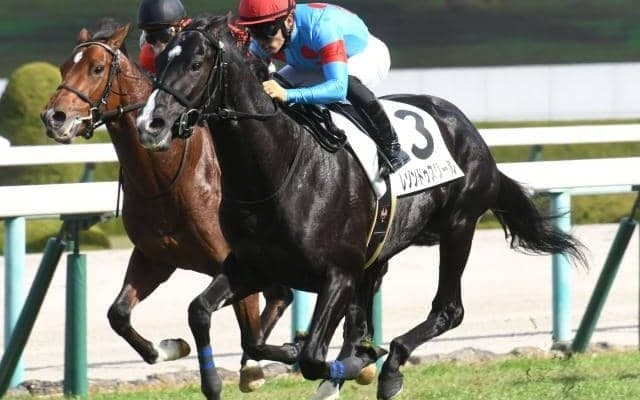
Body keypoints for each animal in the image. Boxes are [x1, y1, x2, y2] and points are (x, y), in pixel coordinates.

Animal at [40, 19, 297, 392]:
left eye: (97, 68)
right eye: (62, 68)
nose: (53, 117)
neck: (166, 178)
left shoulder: (237, 264)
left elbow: (249, 332)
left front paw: (260, 366)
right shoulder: (155, 257)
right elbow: (118, 314)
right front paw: (169, 348)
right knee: (282, 294)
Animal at [136, 15, 586, 400]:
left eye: (196, 63)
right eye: (158, 63)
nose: (149, 125)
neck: (280, 168)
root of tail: (470, 131)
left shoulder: (339, 273)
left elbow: (313, 356)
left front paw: (357, 362)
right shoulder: (252, 266)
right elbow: (214, 319)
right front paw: (215, 376)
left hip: (459, 225)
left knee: (448, 309)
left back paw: (389, 367)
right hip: (381, 252)